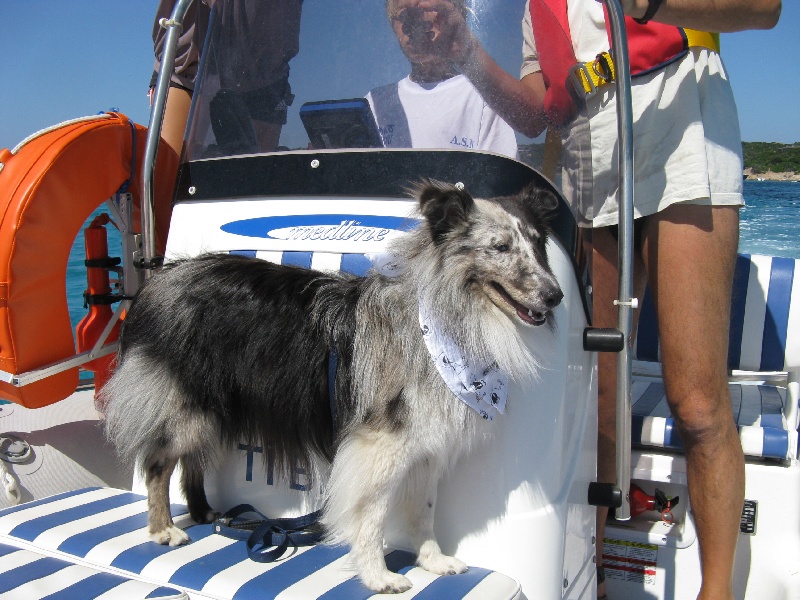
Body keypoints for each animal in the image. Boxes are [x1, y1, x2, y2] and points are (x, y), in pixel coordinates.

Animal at [101, 180, 564, 592]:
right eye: (500, 247)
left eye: (538, 244)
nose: (555, 295)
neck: (446, 322)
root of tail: (159, 282)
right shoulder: (380, 447)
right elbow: (371, 516)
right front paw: (378, 576)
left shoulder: (424, 448)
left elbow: (423, 511)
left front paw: (433, 562)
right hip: (187, 405)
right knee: (159, 462)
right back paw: (163, 528)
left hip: (214, 406)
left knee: (191, 460)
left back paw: (203, 512)